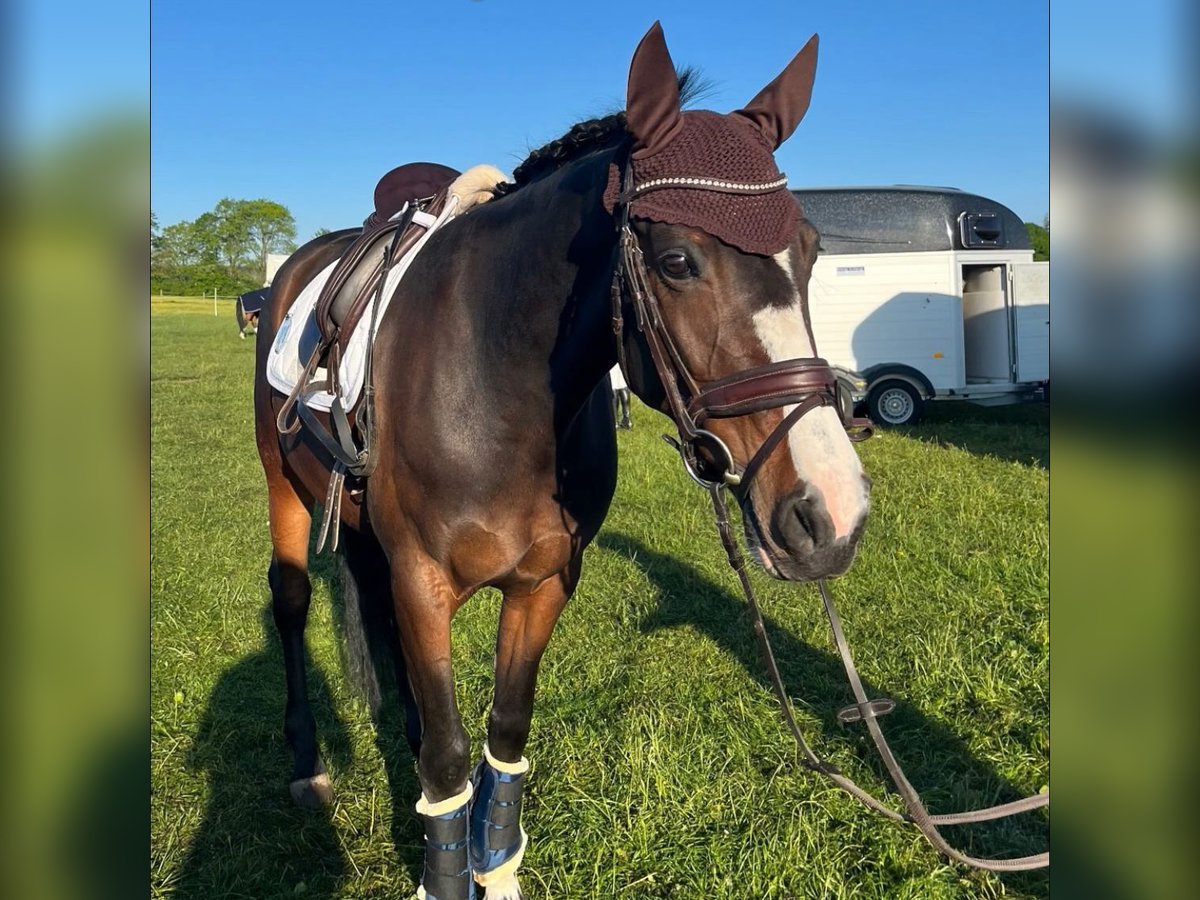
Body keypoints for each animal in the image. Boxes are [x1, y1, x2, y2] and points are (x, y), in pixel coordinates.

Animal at [255, 22, 873, 900]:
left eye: (811, 252)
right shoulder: (423, 580)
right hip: (284, 490)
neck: (494, 382)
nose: (832, 510)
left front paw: (494, 868)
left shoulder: (544, 580)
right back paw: (307, 763)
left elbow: (502, 737)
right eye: (677, 261)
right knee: (293, 602)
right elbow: (451, 755)